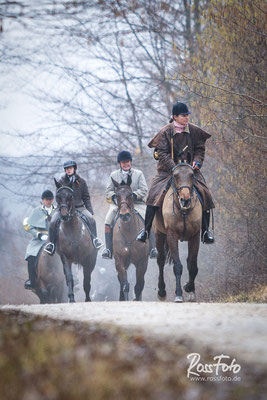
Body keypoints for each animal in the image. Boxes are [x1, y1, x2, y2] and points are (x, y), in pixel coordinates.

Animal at [154, 164, 202, 302]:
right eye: (175, 176)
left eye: (192, 175)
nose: (185, 200)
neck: (183, 211)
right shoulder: (172, 235)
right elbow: (178, 266)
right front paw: (179, 294)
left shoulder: (195, 235)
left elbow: (192, 265)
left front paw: (189, 288)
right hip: (159, 235)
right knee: (160, 260)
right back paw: (162, 291)